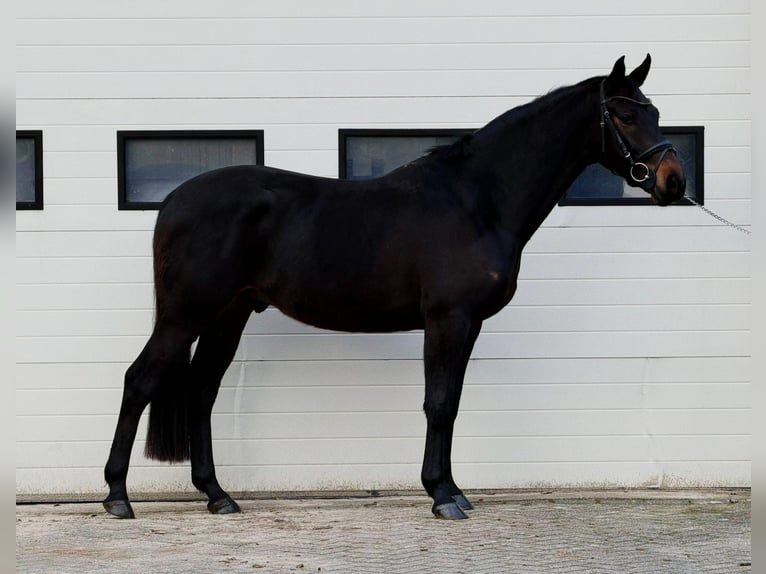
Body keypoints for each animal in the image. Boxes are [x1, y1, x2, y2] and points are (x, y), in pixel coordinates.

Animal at [103, 54, 686, 520]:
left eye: (655, 112)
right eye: (626, 114)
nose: (673, 181)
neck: (476, 200)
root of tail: (174, 200)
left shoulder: (468, 323)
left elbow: (452, 402)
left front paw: (452, 489)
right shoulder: (448, 318)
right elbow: (439, 403)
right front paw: (442, 497)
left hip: (230, 313)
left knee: (202, 389)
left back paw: (218, 495)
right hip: (186, 314)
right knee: (140, 381)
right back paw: (117, 497)